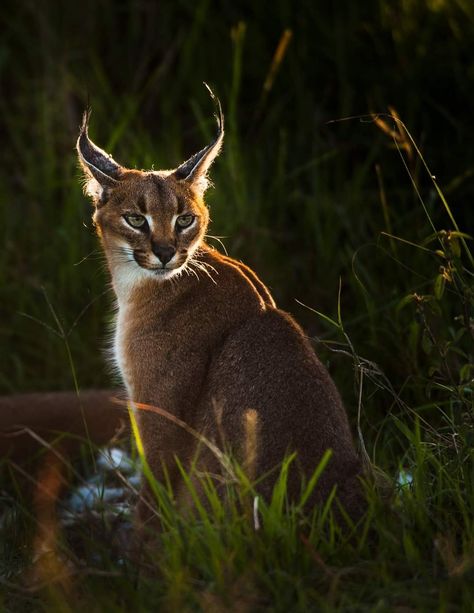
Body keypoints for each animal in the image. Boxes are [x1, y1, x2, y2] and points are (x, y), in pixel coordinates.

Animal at [77, 88, 362, 528]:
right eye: (136, 219)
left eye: (185, 220)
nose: (165, 252)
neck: (142, 287)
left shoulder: (160, 412)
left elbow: (152, 501)